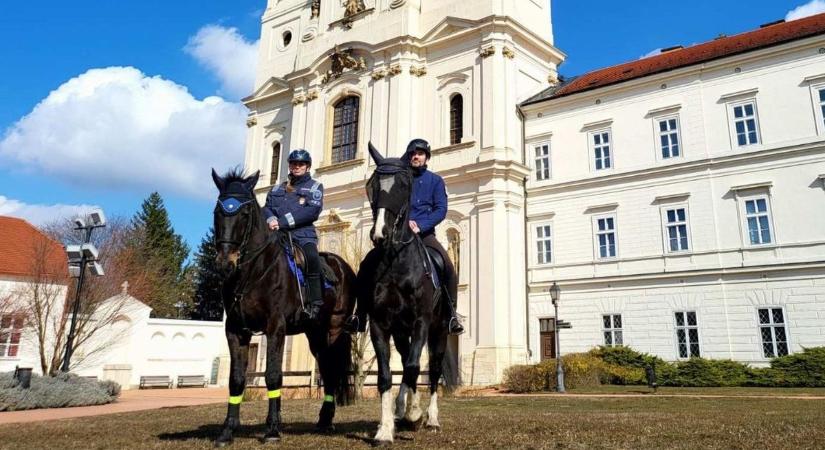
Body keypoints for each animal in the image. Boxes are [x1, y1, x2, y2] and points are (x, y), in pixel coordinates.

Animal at [211, 169, 352, 446]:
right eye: (217, 211)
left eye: (245, 213)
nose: (225, 264)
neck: (253, 273)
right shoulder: (235, 330)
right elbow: (237, 380)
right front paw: (228, 430)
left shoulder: (275, 327)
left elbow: (273, 375)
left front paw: (273, 429)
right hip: (314, 334)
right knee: (326, 368)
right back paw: (324, 420)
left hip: (335, 329)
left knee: (331, 367)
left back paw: (327, 420)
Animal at [354, 142, 458, 444]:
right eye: (371, 185)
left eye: (403, 185)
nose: (380, 234)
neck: (397, 263)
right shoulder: (379, 325)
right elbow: (387, 375)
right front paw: (385, 429)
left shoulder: (422, 322)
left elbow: (414, 367)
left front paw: (414, 414)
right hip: (401, 331)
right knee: (404, 362)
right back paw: (401, 409)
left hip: (440, 330)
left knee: (432, 371)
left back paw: (430, 418)